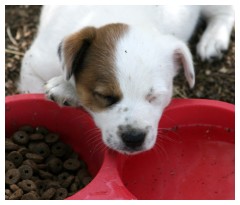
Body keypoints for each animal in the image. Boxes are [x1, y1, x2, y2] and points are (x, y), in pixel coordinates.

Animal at [18, 5, 234, 155]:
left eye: (154, 96)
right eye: (105, 96)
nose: (134, 138)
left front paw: (65, 88)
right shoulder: (34, 65)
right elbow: (34, 96)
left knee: (225, 11)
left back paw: (213, 40)